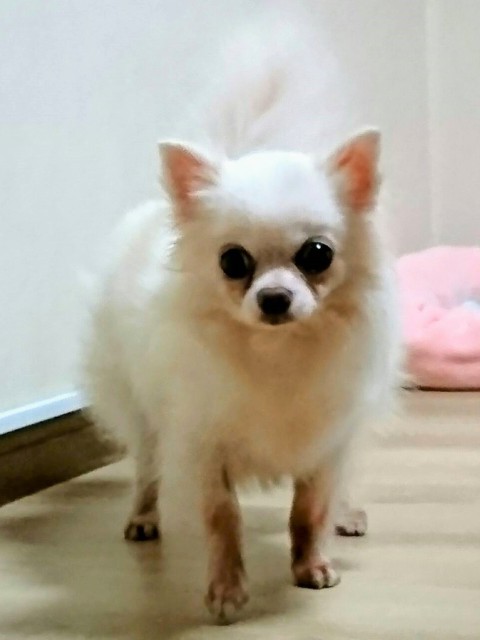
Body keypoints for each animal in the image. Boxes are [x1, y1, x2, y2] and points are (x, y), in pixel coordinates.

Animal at [83, 27, 399, 624]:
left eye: (317, 254)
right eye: (233, 262)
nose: (274, 298)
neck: (276, 351)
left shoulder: (326, 436)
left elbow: (310, 508)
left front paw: (311, 565)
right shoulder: (202, 442)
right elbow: (222, 517)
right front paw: (226, 591)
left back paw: (349, 514)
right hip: (143, 412)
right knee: (148, 466)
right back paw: (143, 517)